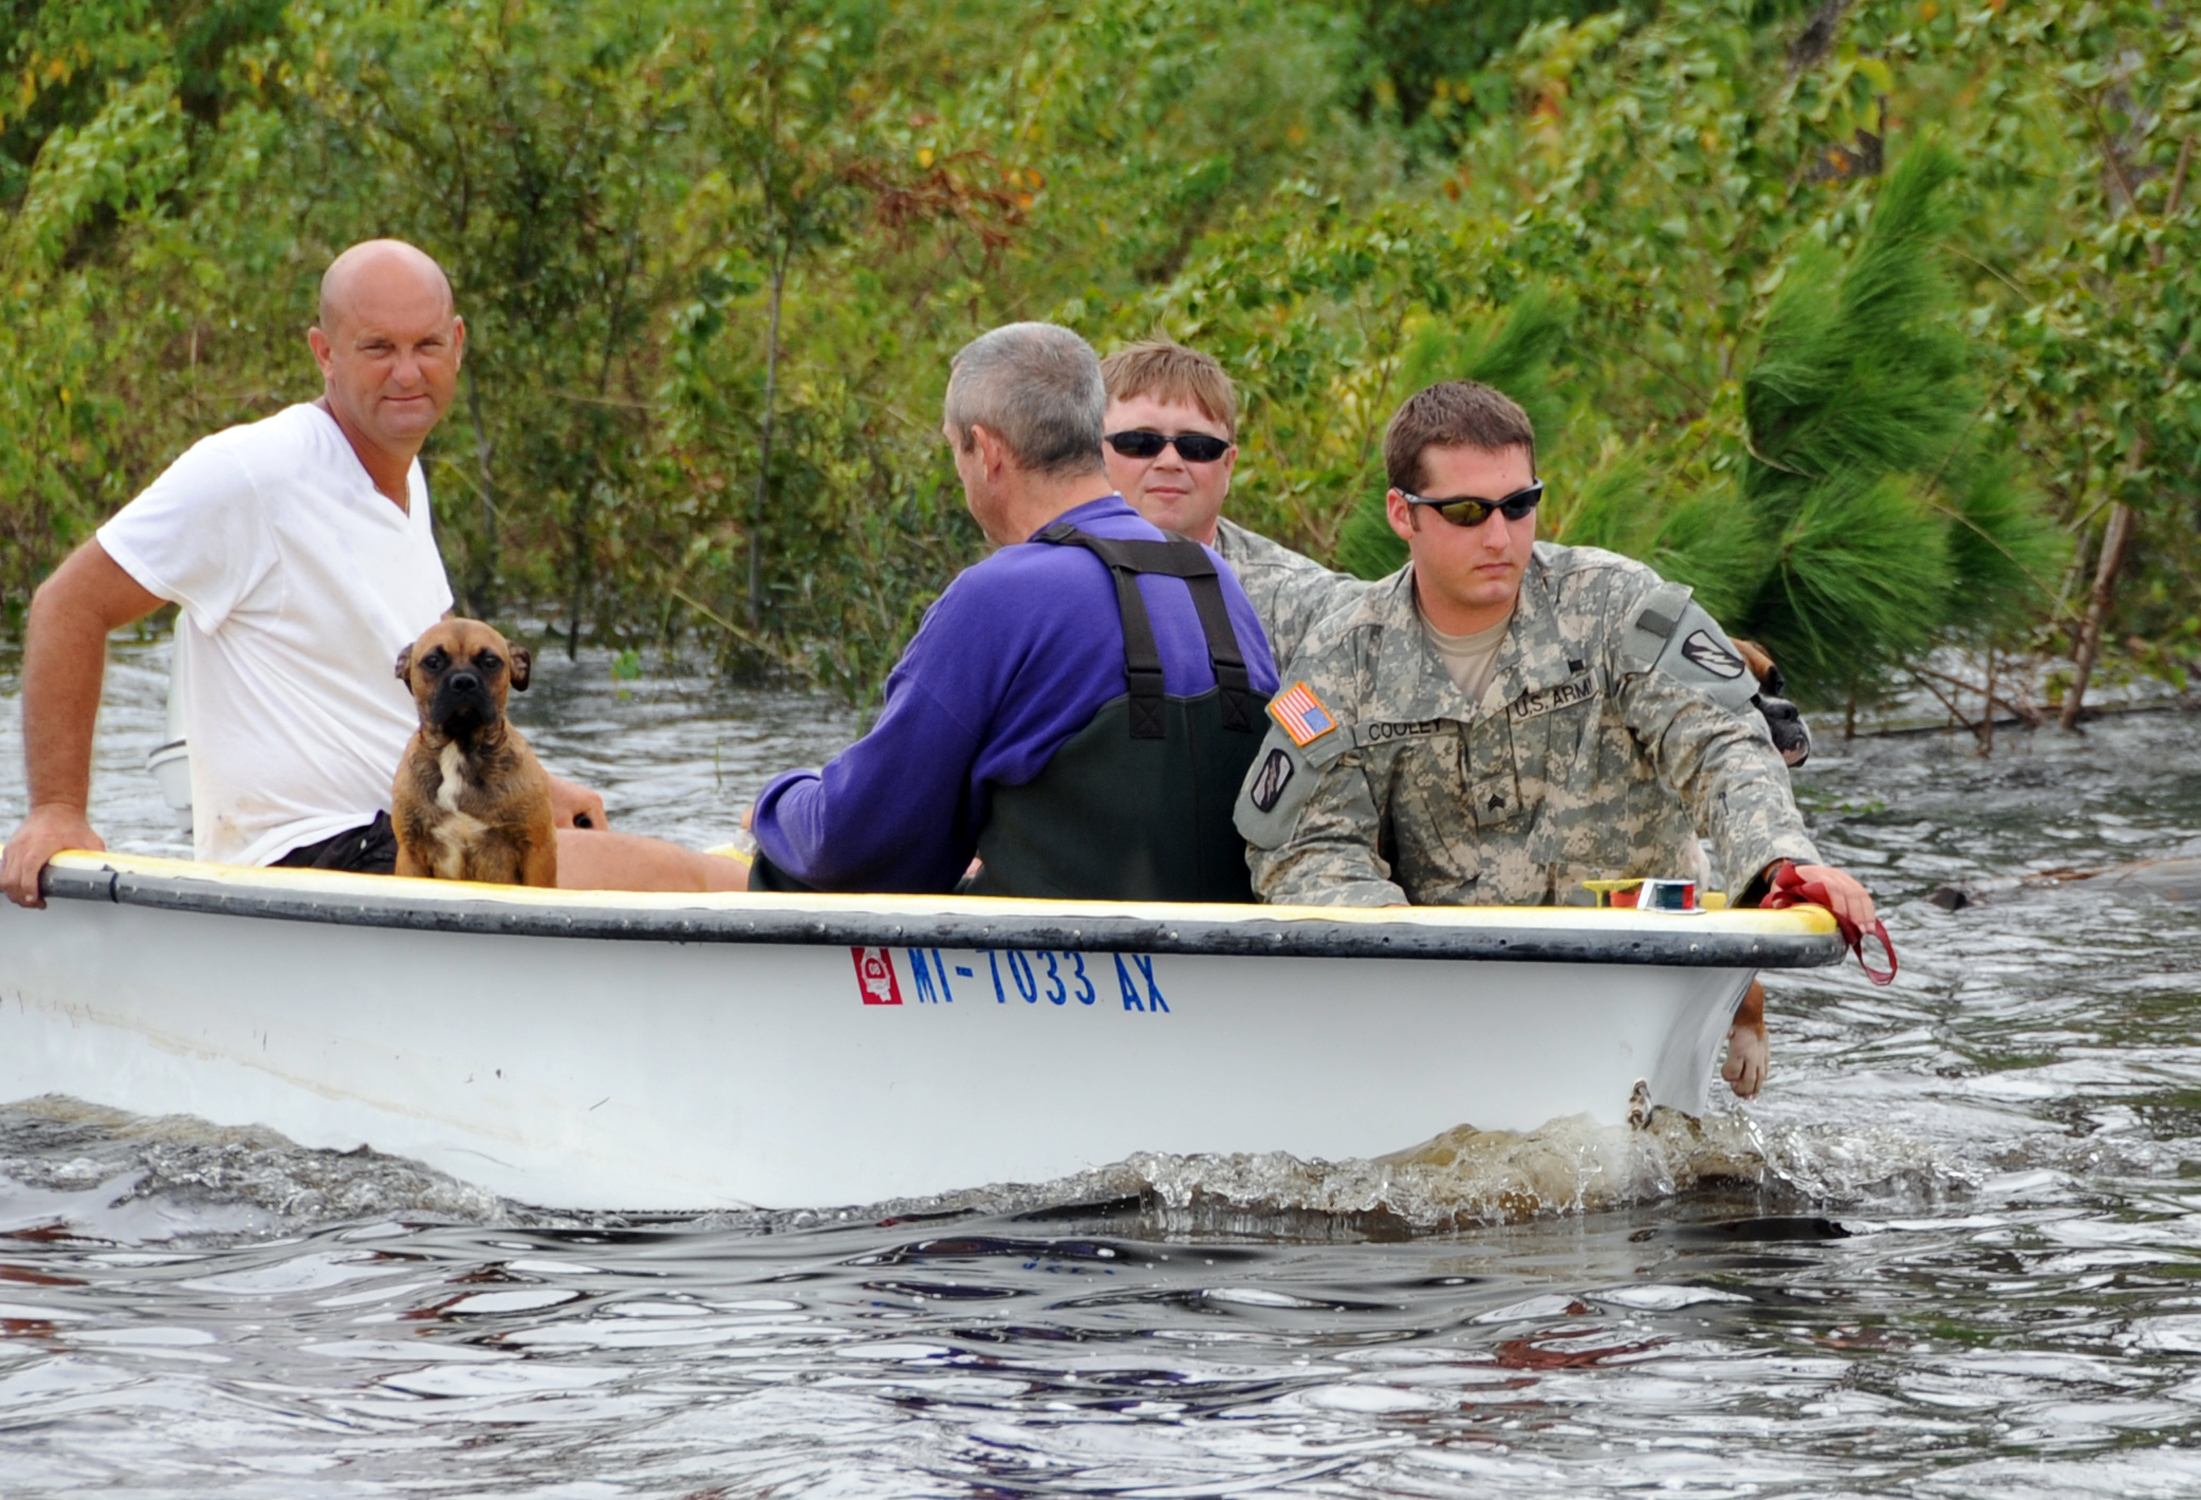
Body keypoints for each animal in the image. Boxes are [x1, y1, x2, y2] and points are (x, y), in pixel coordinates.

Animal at [393, 615, 559, 884]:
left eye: (491, 662)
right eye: (433, 661)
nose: (463, 681)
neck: (459, 745)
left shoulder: (537, 849)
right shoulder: (411, 854)